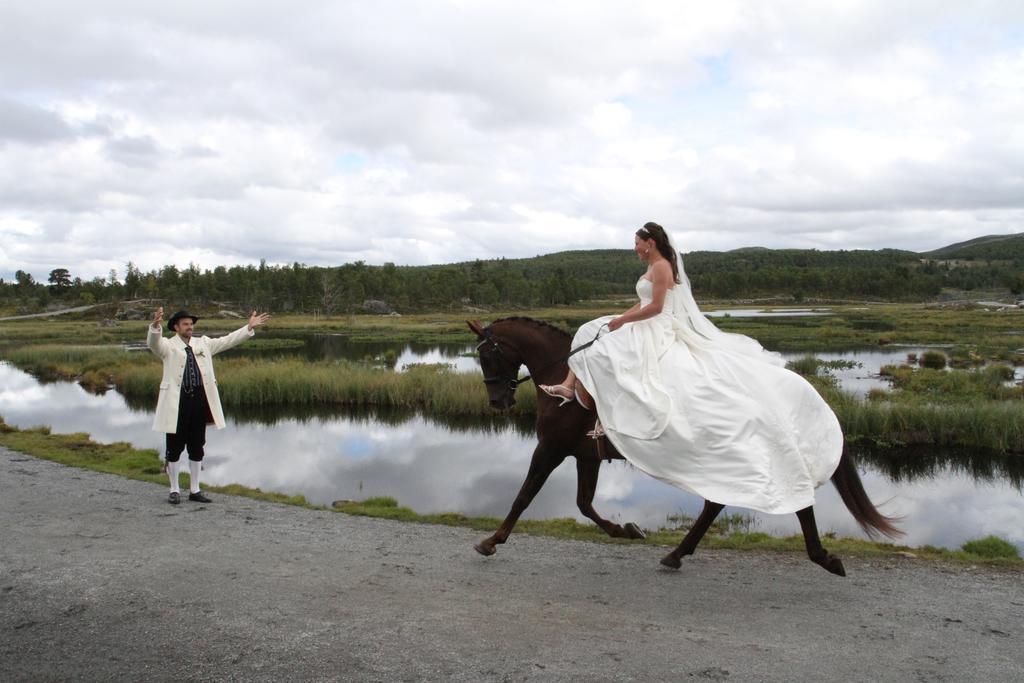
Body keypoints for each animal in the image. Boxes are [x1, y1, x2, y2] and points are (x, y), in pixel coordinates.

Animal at [468, 317, 901, 573]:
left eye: (488, 355)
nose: (498, 402)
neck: (565, 377)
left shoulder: (551, 449)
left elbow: (524, 496)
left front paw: (491, 541)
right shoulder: (583, 455)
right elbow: (584, 504)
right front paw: (626, 530)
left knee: (782, 501)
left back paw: (822, 557)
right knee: (716, 505)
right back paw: (677, 554)